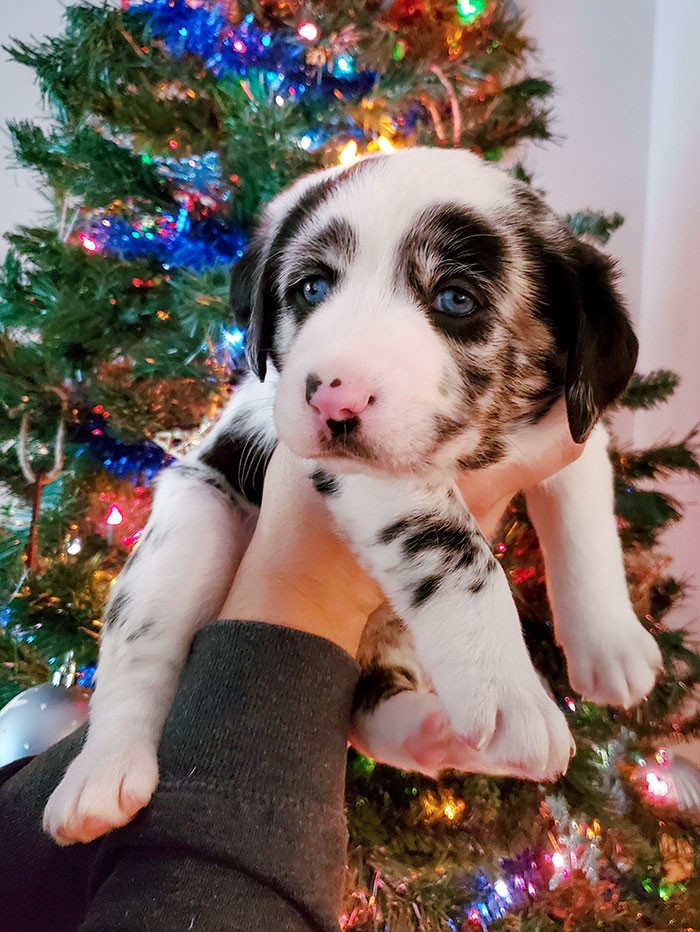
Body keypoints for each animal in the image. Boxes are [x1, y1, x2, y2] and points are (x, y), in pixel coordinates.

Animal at [43, 147, 660, 844]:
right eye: (311, 289)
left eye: (456, 299)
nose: (332, 399)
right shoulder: (373, 477)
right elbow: (455, 553)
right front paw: (511, 695)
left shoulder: (571, 433)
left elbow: (588, 532)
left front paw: (610, 643)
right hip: (192, 525)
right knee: (139, 653)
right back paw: (101, 775)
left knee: (371, 705)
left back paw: (430, 731)